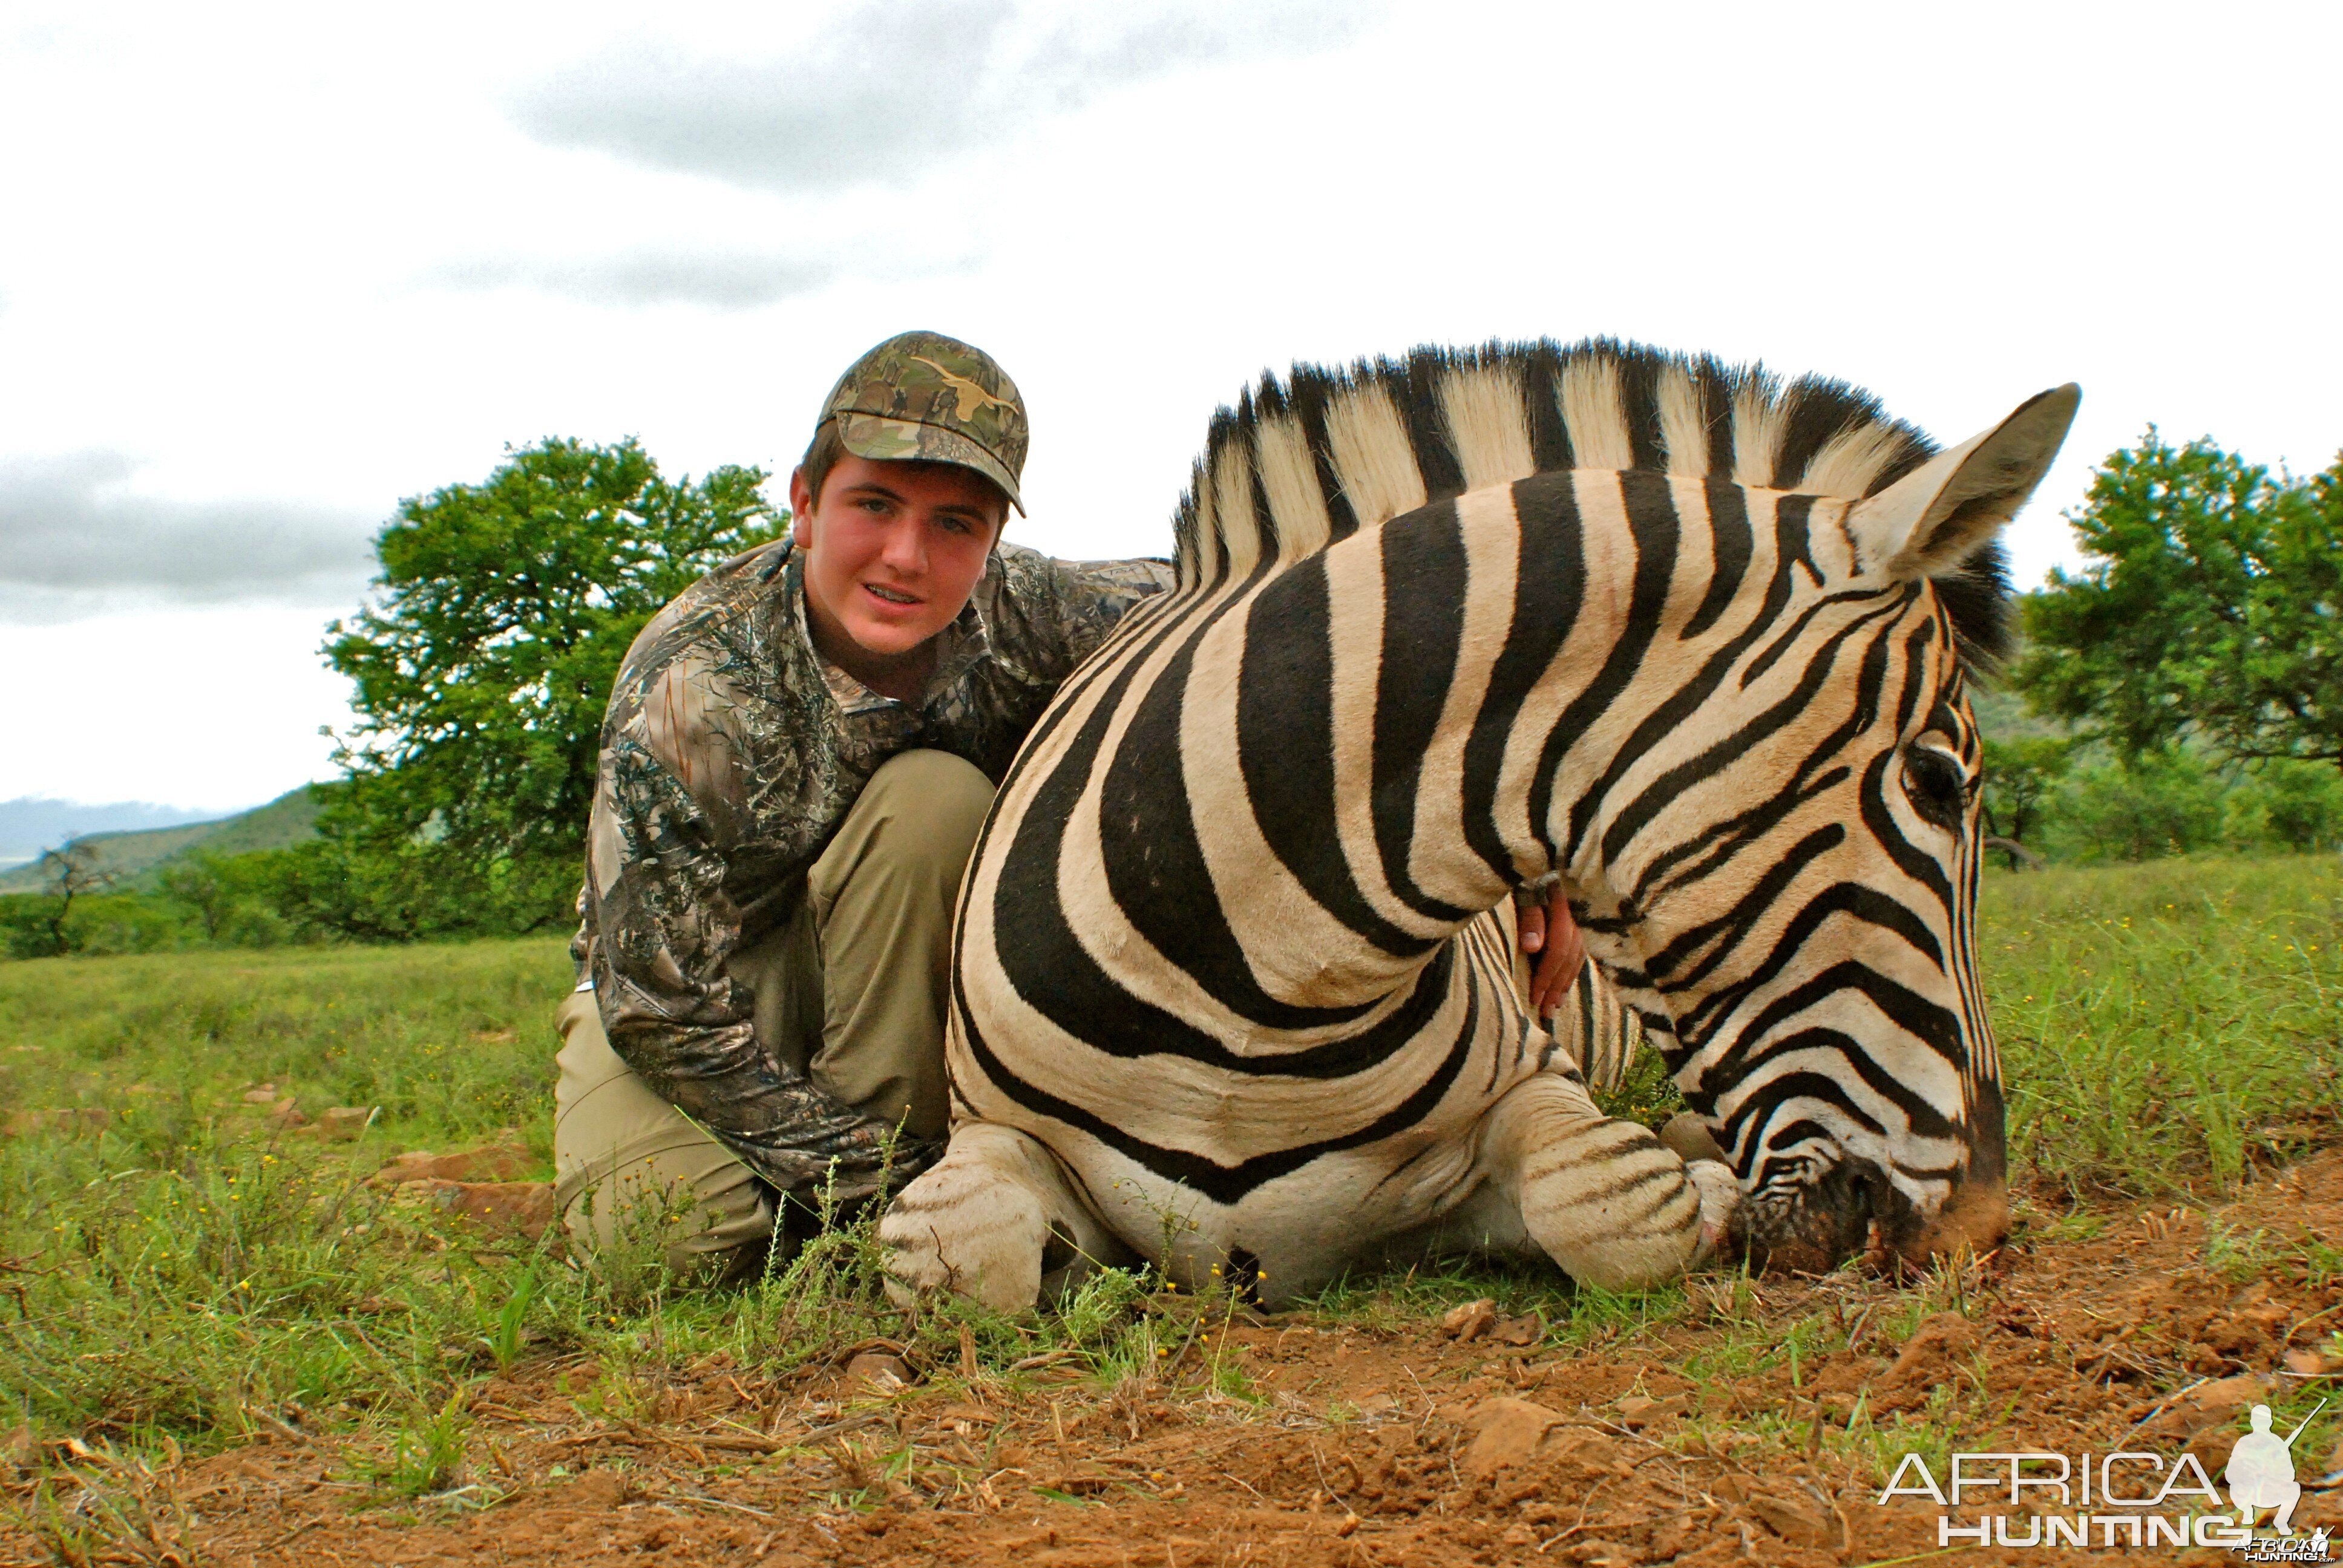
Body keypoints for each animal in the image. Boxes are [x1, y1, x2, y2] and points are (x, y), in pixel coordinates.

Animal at [876, 339, 2071, 1312]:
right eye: (1936, 783)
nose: (1977, 1234)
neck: (1252, 984)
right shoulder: (990, 1135)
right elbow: (963, 1256)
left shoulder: (1537, 1086)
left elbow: (1617, 1207)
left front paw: (1700, 1185)